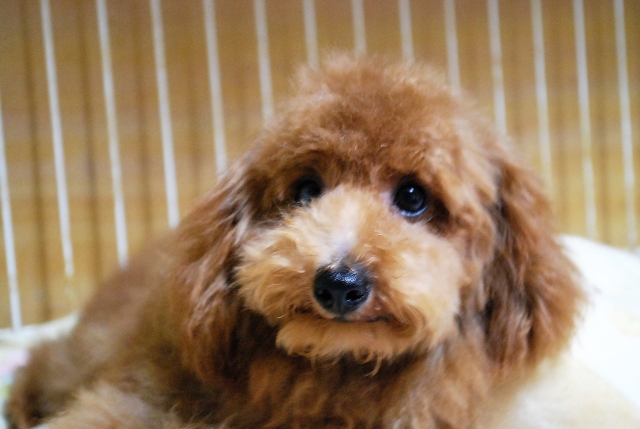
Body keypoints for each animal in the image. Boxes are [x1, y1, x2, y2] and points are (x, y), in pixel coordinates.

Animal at [6, 56, 585, 428]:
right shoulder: (141, 393)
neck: (340, 374)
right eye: (307, 189)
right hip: (87, 351)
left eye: (413, 197)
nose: (339, 284)